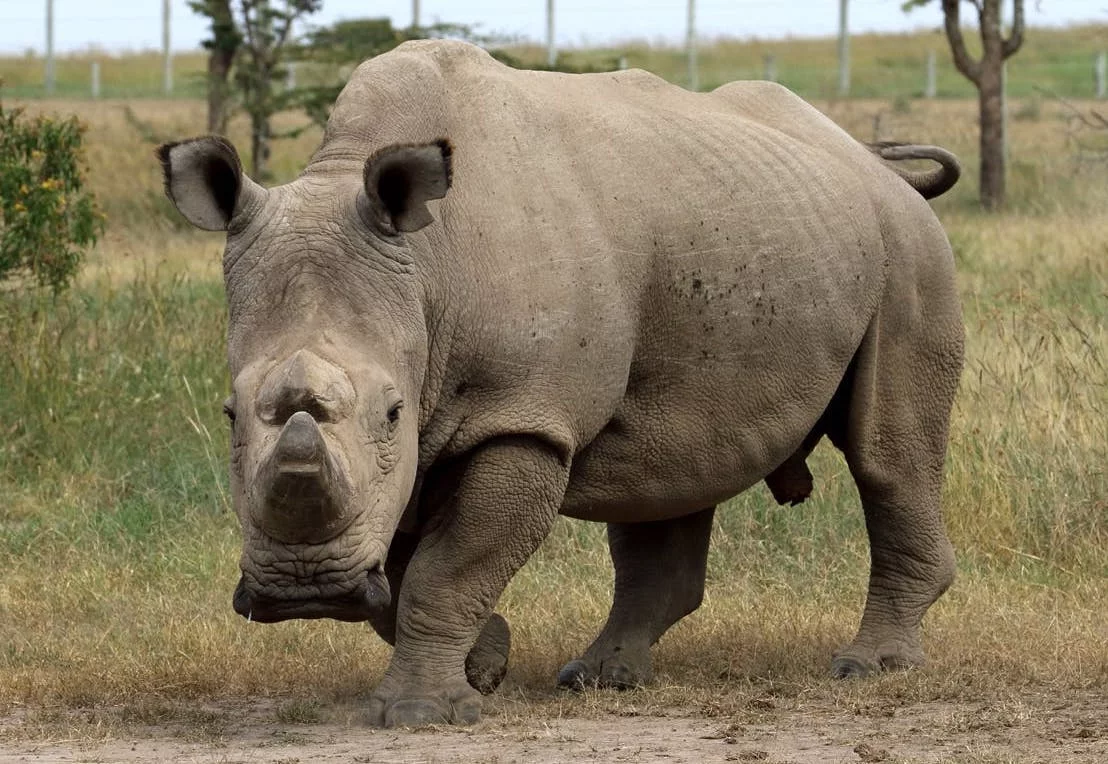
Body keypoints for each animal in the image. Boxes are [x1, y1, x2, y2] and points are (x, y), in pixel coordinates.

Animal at [158, 40, 964, 728]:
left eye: (391, 412)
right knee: (666, 468)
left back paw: (867, 668)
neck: (428, 271)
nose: (305, 590)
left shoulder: (522, 415)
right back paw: (600, 678)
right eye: (229, 413)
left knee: (887, 455)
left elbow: (446, 568)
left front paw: (420, 713)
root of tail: (875, 164)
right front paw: (484, 664)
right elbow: (401, 565)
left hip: (909, 248)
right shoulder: (418, 432)